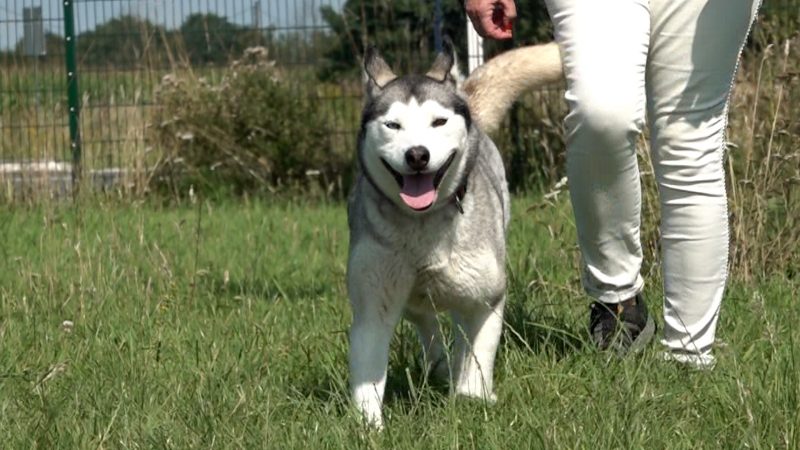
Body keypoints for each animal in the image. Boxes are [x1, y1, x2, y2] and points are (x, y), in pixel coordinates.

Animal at [348, 40, 564, 428]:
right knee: (424, 317)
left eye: (439, 121)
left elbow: (476, 356)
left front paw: (474, 398)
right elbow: (368, 372)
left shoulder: (487, 296)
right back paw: (439, 364)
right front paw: (367, 427)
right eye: (392, 125)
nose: (417, 155)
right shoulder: (373, 299)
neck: (423, 223)